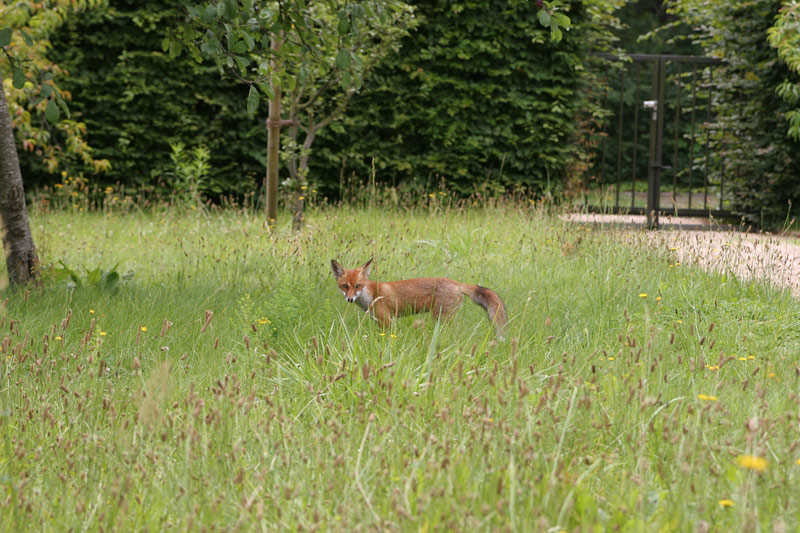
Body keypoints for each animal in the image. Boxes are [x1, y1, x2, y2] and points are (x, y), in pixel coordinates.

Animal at [330, 258, 506, 336]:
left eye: (358, 286)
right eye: (345, 286)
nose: (350, 299)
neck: (371, 294)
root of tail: (456, 282)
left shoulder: (387, 320)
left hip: (442, 318)